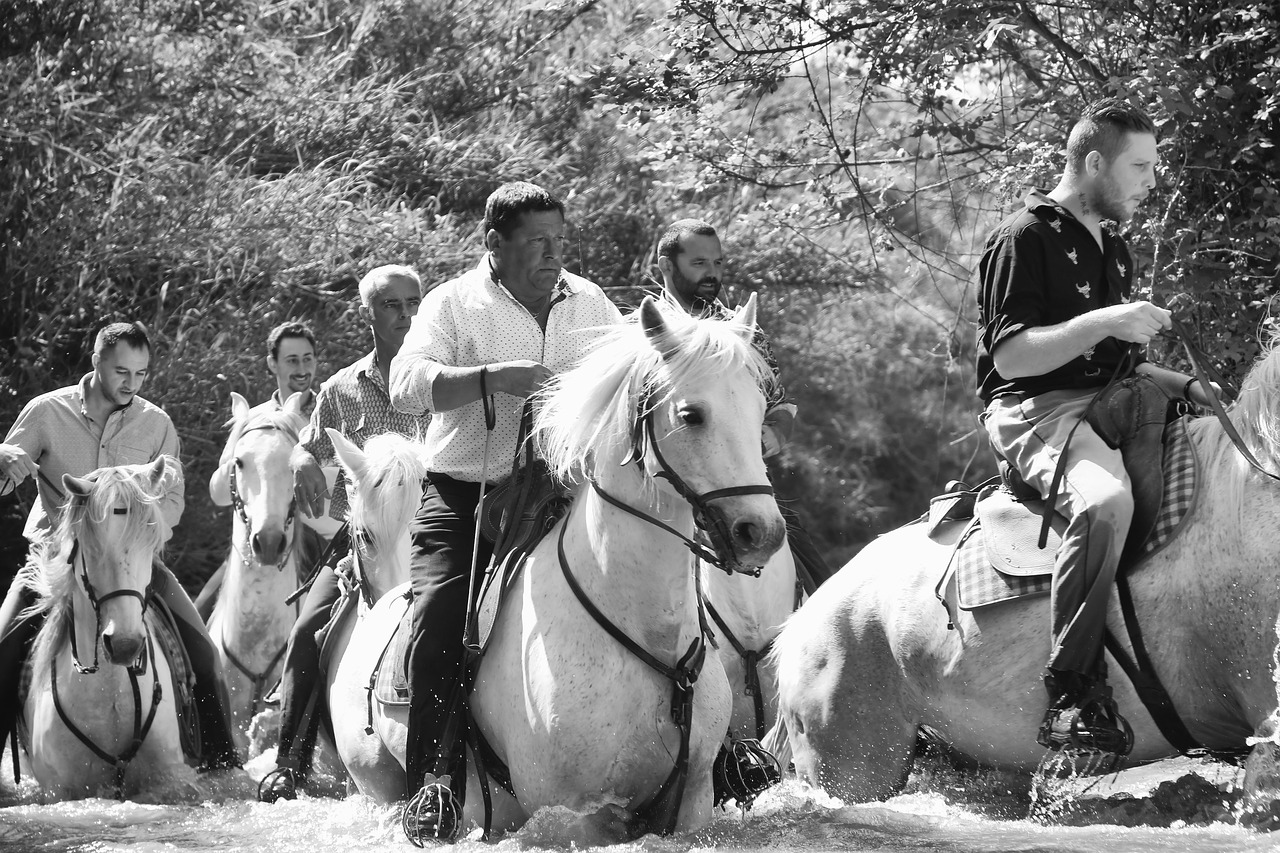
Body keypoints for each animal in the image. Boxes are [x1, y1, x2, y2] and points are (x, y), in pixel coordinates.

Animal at [19, 458, 194, 799]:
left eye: (150, 544)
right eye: (91, 547)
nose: (125, 644)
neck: (109, 691)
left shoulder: (169, 778)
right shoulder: (59, 790)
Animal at [325, 295, 783, 835]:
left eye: (758, 411)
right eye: (692, 415)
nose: (761, 532)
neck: (650, 635)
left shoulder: (692, 799)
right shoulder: (572, 815)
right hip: (376, 787)